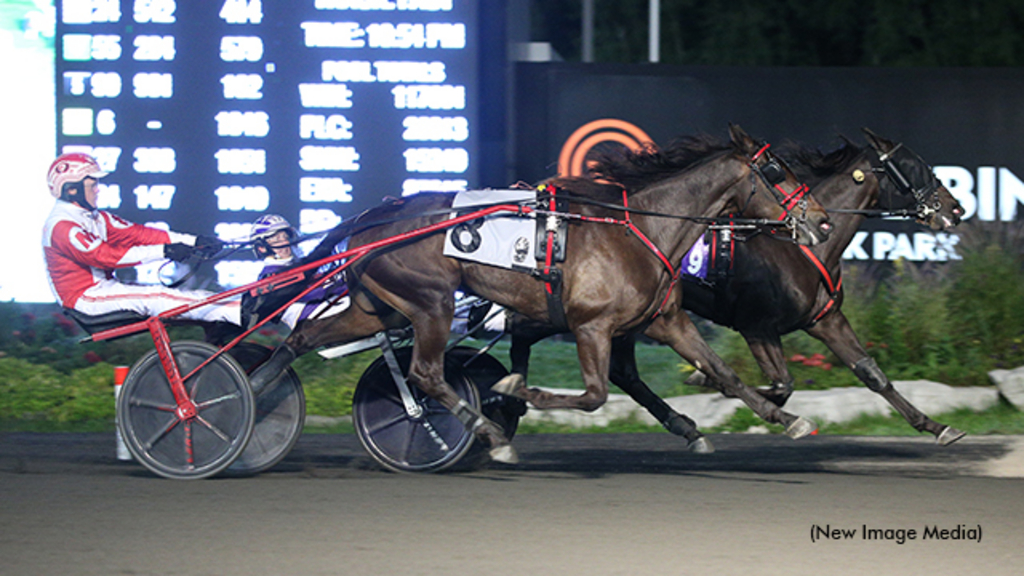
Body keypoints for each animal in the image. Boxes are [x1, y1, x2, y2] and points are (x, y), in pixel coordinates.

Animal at [245, 123, 831, 459]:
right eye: (775, 169)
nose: (821, 220)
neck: (637, 227)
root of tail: (373, 215)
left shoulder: (667, 322)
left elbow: (725, 373)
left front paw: (788, 420)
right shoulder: (591, 325)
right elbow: (593, 396)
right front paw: (509, 392)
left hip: (378, 307)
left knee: (303, 339)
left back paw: (250, 393)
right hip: (431, 303)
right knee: (425, 374)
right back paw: (486, 432)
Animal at [503, 127, 966, 446]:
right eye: (914, 167)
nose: (956, 208)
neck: (798, 246)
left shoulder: (825, 320)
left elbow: (871, 373)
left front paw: (937, 426)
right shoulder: (757, 325)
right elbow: (780, 385)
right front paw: (707, 383)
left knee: (619, 370)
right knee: (534, 335)